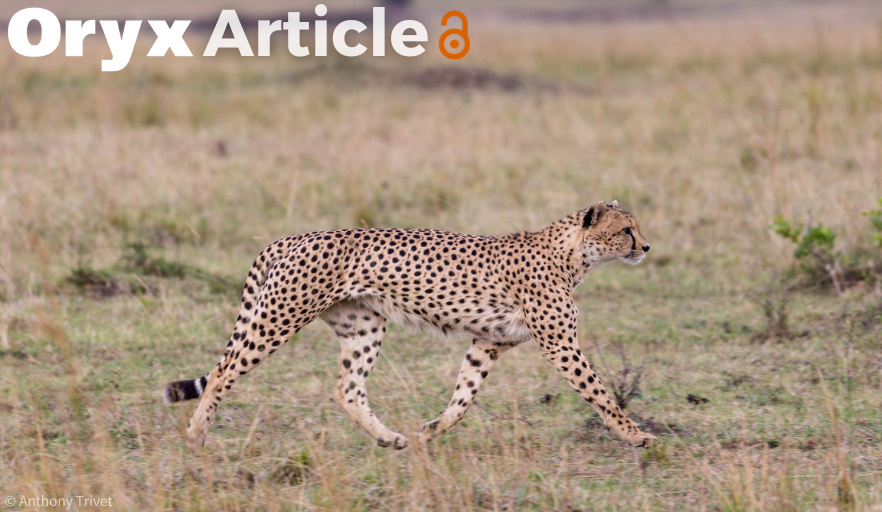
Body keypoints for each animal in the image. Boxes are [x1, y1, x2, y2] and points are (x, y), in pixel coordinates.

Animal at [163, 200, 657, 451]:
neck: (572, 254)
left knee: (347, 389)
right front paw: (637, 435)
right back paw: (197, 434)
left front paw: (432, 430)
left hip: (363, 326)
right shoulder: (559, 344)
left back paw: (390, 438)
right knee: (223, 371)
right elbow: (600, 394)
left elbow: (464, 396)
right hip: (278, 317)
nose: (647, 247)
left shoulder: (488, 342)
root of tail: (293, 236)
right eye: (626, 230)